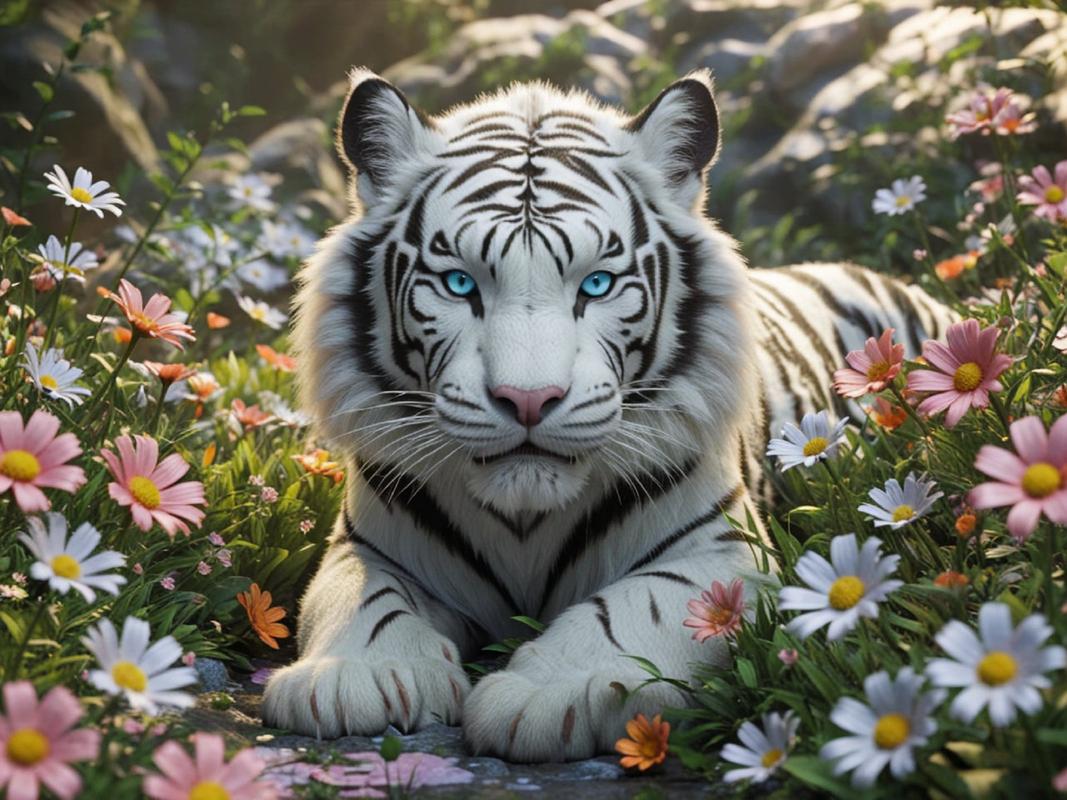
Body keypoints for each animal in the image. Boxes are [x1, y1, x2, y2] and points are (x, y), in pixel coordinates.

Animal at [261, 68, 953, 762]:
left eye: (596, 285)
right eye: (459, 284)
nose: (529, 399)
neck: (525, 523)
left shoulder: (720, 554)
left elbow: (633, 607)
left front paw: (551, 691)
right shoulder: (366, 547)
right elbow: (364, 599)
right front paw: (354, 677)